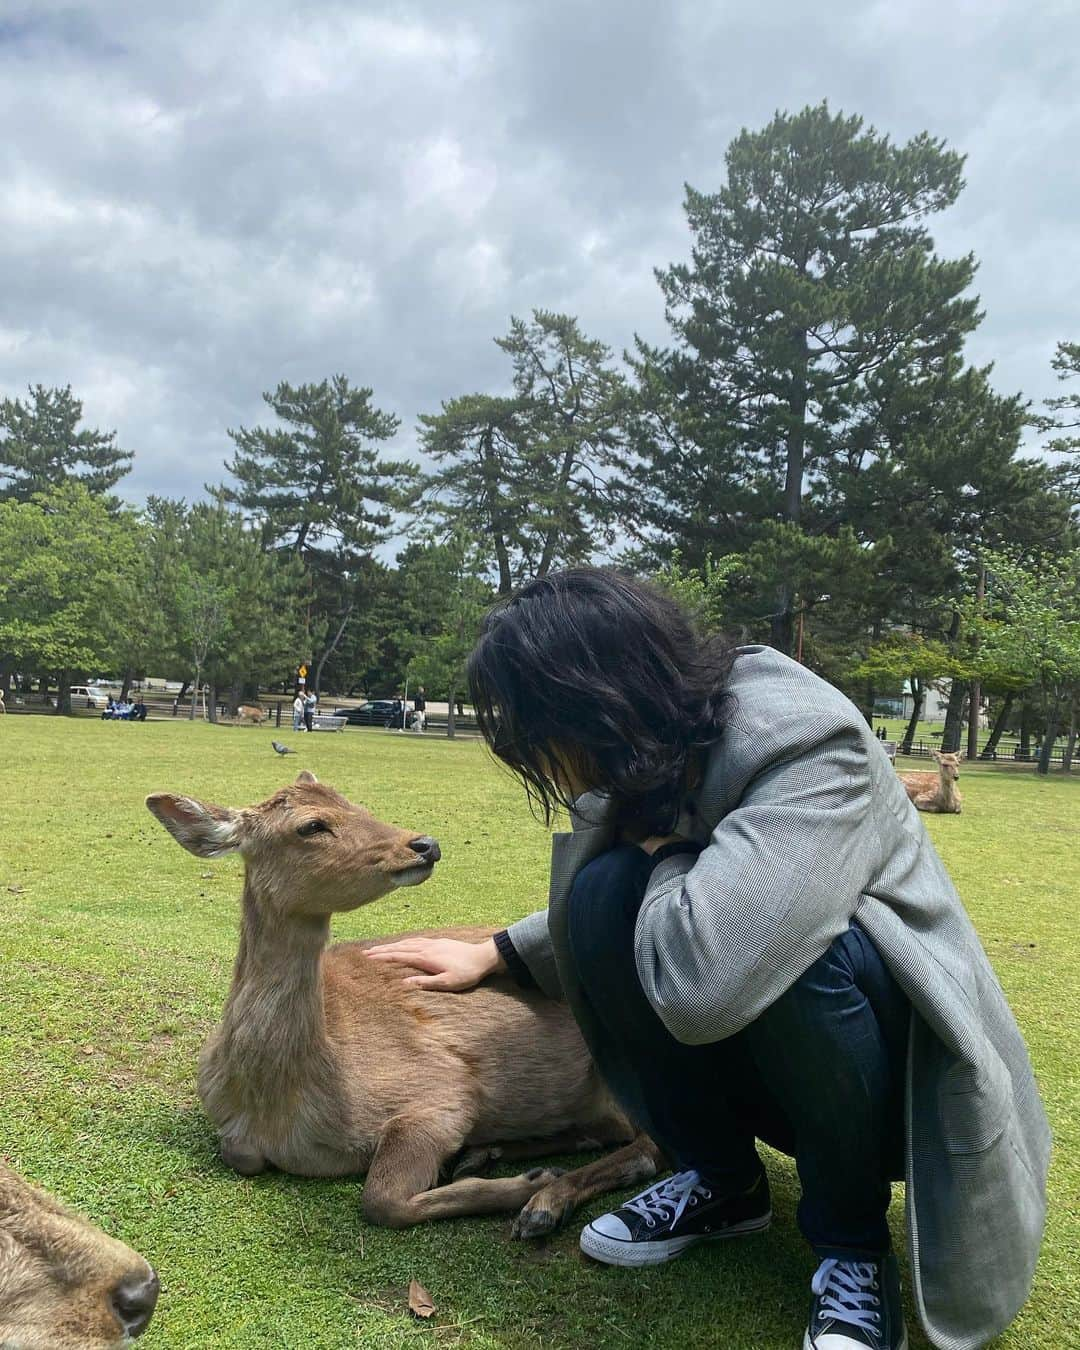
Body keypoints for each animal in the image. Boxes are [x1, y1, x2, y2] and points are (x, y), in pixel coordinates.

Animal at [147, 777, 661, 1236]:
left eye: (353, 800)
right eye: (311, 825)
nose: (424, 844)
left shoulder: (442, 1090)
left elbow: (382, 1199)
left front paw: (526, 1186)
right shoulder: (235, 1134)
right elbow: (241, 1156)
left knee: (648, 1148)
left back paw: (542, 1200)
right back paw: (490, 1155)